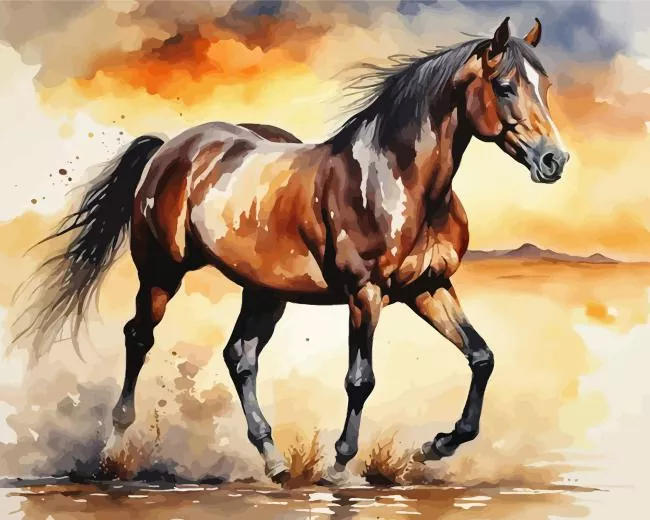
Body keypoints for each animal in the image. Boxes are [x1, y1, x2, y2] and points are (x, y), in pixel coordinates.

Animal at [12, 17, 569, 486]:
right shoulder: (365, 294)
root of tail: (171, 148)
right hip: (161, 274)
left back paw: (274, 461)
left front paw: (434, 447)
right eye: (505, 87)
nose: (554, 160)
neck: (394, 180)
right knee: (139, 339)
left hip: (264, 292)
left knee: (239, 358)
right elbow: (360, 379)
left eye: (545, 88)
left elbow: (481, 357)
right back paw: (112, 451)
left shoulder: (428, 288)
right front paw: (341, 465)